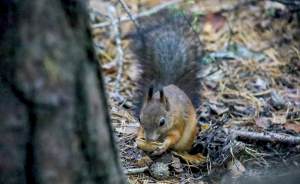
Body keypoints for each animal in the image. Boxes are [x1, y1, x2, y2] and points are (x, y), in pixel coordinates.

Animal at [131, 9, 204, 163]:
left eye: (162, 122)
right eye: (140, 119)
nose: (149, 139)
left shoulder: (179, 123)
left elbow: (174, 137)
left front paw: (164, 145)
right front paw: (139, 140)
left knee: (181, 148)